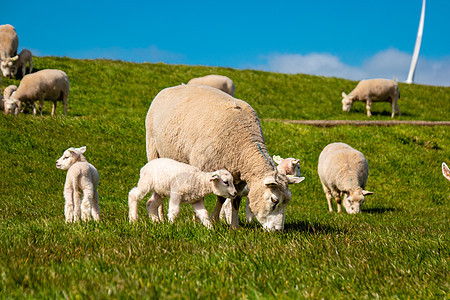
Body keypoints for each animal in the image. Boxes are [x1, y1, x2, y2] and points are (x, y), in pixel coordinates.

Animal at [146, 83, 304, 231]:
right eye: (274, 200)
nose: (278, 230)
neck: (244, 145)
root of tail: (172, 87)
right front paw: (200, 221)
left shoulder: (238, 179)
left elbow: (231, 200)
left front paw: (232, 225)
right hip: (152, 148)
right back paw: (160, 218)